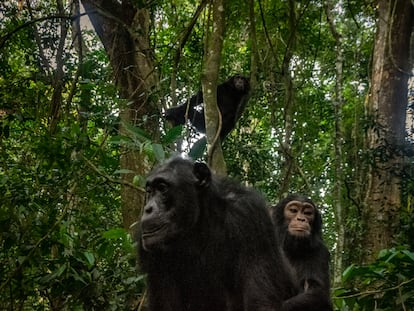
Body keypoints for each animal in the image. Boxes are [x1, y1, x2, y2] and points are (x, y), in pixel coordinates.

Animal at [137, 158, 296, 311]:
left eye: (162, 188)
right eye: (149, 191)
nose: (148, 208)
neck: (199, 222)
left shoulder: (250, 215)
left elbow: (259, 302)